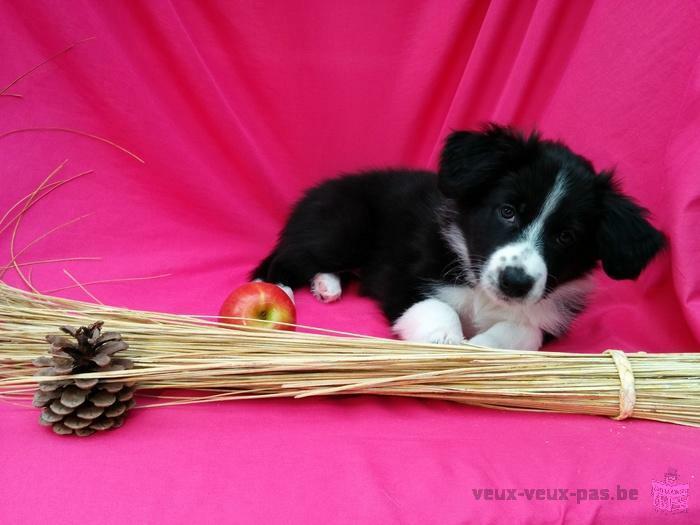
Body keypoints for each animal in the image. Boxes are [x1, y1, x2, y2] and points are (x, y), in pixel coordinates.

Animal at [250, 124, 660, 350]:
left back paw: (327, 285)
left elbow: (524, 330)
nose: (515, 282)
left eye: (566, 236)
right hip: (342, 228)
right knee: (283, 258)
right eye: (507, 211)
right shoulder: (403, 276)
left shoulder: (551, 316)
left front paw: (484, 346)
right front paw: (444, 340)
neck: (482, 292)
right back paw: (278, 293)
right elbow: (437, 305)